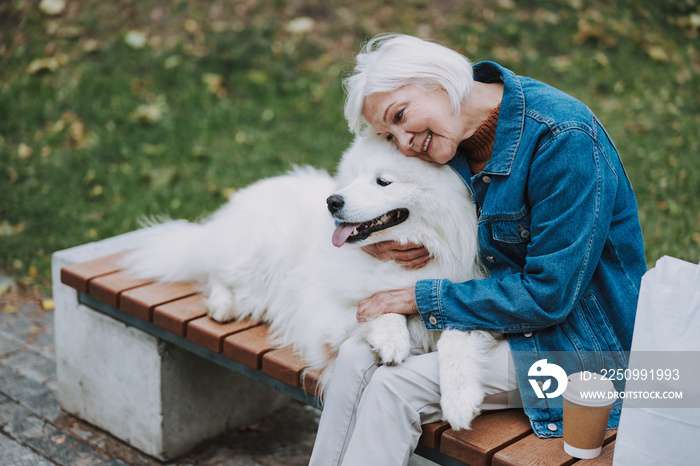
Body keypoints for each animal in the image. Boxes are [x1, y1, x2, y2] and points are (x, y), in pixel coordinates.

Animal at [123, 135, 500, 430]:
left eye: (382, 181)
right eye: (353, 176)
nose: (332, 201)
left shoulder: (462, 301)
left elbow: (455, 332)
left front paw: (460, 399)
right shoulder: (328, 320)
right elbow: (378, 304)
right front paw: (392, 338)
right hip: (257, 255)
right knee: (213, 270)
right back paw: (221, 305)